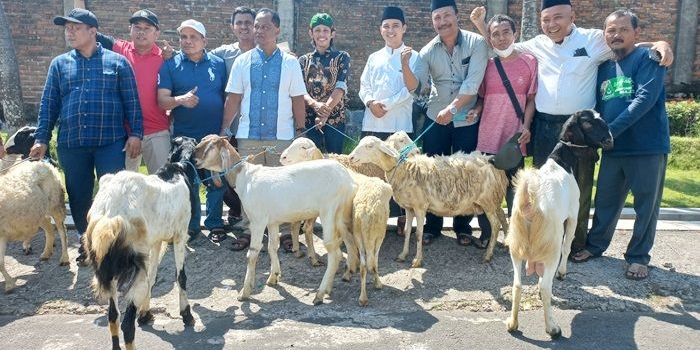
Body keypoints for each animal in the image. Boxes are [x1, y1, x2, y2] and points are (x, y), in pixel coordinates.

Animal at [86, 136, 200, 348]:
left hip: (108, 270)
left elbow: (153, 276)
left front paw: (146, 313)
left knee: (113, 317)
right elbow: (181, 276)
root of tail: (110, 216)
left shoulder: (155, 241)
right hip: (134, 266)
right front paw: (187, 315)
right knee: (127, 324)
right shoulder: (180, 235)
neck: (177, 170)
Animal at [193, 135, 358, 304]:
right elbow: (272, 246)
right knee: (347, 242)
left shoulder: (258, 221)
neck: (244, 177)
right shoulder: (272, 222)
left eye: (209, 145)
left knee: (335, 253)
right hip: (342, 216)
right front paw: (274, 277)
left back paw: (319, 294)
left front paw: (244, 292)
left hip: (329, 211)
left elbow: (252, 253)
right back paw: (335, 283)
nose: (194, 159)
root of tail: (349, 181)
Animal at [350, 138, 508, 266]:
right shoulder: (409, 208)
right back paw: (506, 242)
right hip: (494, 201)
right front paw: (402, 255)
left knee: (495, 225)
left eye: (370, 146)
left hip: (487, 200)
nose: (351, 157)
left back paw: (488, 255)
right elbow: (407, 231)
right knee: (502, 217)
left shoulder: (420, 207)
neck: (405, 170)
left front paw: (417, 260)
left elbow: (419, 234)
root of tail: (492, 163)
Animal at [504, 110, 612, 340]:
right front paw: (562, 273)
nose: (610, 139)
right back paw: (552, 328)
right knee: (546, 286)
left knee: (517, 284)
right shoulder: (571, 215)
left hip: (516, 245)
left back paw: (513, 323)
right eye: (589, 122)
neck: (561, 163)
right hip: (550, 245)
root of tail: (530, 201)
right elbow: (568, 245)